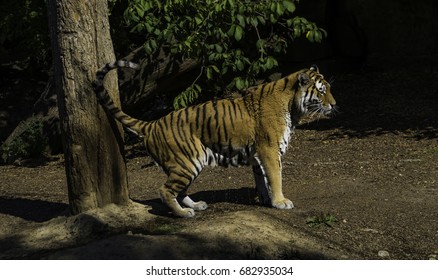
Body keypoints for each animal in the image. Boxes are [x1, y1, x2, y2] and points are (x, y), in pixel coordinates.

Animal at [93, 60, 336, 218]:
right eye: (321, 91)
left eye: (329, 88)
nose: (334, 105)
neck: (292, 105)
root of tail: (152, 124)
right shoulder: (269, 150)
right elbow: (275, 178)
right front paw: (280, 202)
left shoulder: (259, 156)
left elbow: (262, 179)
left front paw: (267, 200)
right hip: (187, 162)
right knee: (165, 191)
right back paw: (184, 214)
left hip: (187, 163)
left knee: (179, 190)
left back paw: (196, 206)